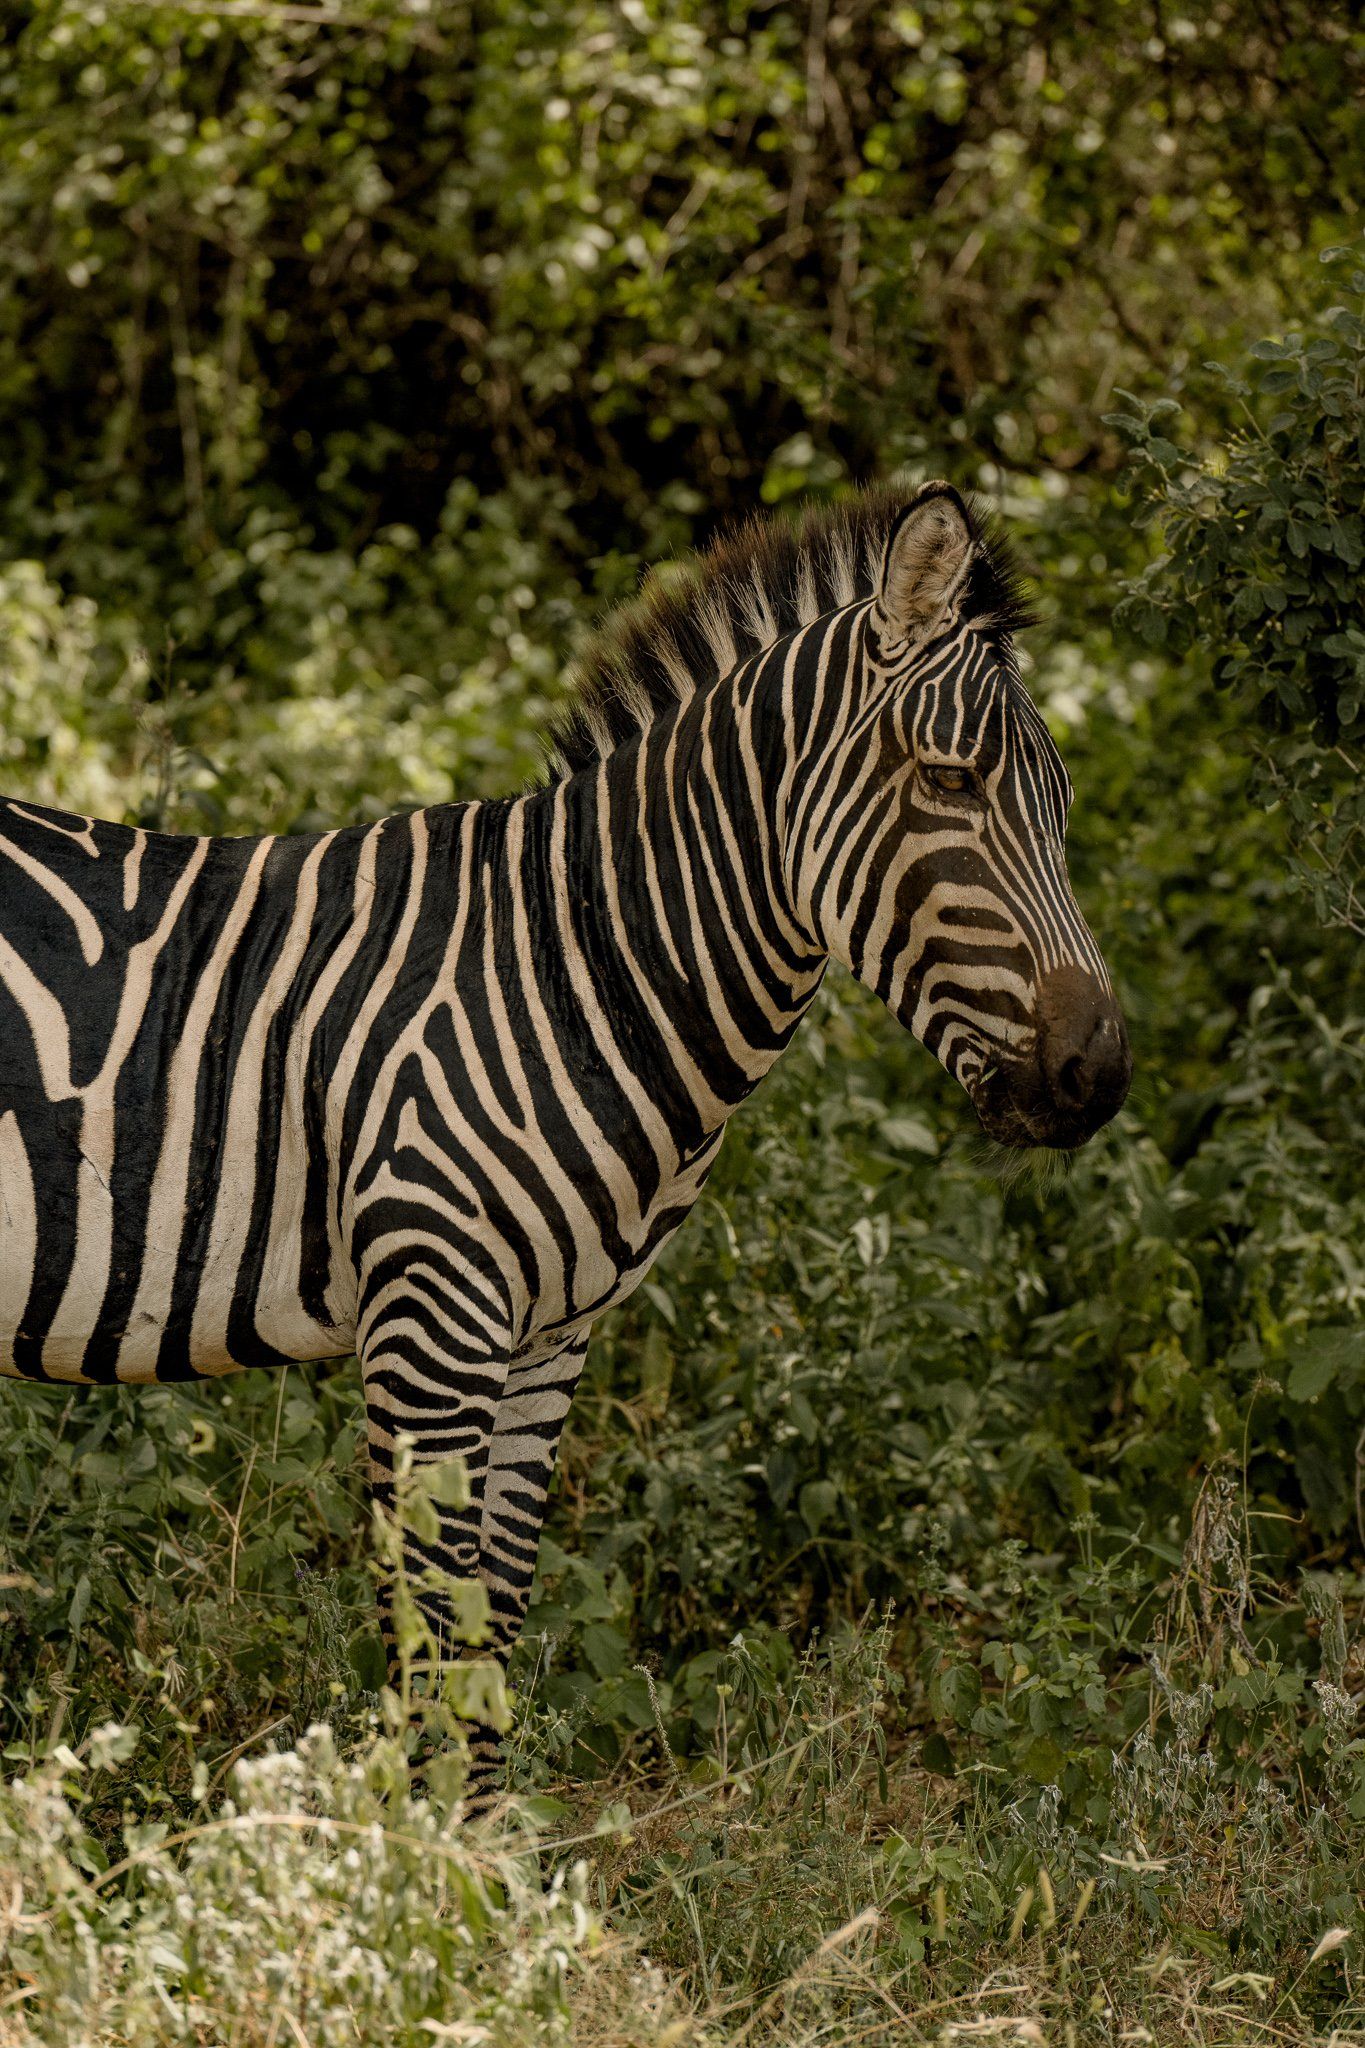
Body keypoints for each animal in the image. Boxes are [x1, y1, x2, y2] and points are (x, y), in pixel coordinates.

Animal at [0, 481, 1130, 1805]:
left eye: (1063, 807)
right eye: (950, 781)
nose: (1099, 1073)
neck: (573, 963)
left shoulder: (550, 1338)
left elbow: (494, 1614)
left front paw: (480, 1842)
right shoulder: (432, 1317)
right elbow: (439, 1629)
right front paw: (422, 1854)